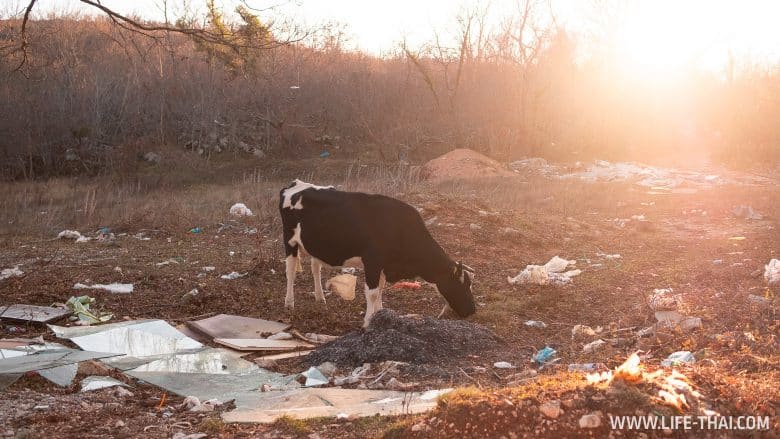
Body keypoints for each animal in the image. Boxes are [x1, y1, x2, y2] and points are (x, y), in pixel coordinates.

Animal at [280, 179, 476, 326]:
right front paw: (367, 323)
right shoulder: (372, 262)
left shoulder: (384, 265)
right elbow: (373, 293)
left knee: (315, 267)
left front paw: (380, 314)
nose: (473, 310)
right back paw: (289, 303)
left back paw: (320, 298)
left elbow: (380, 289)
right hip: (289, 240)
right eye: (463, 285)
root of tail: (296, 183)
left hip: (315, 244)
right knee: (290, 271)